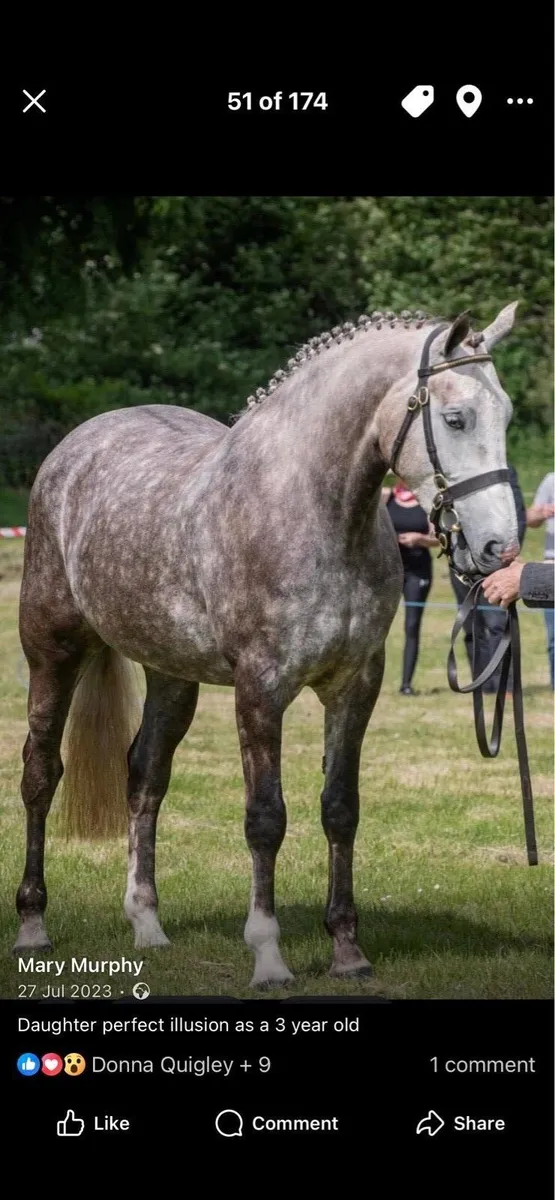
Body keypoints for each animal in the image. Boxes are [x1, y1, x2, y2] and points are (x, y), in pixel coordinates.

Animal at [14, 302, 520, 987]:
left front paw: (347, 951)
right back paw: (33, 925)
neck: (314, 511)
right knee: (40, 772)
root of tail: (72, 450)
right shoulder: (261, 689)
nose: (500, 548)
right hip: (53, 652)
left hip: (172, 675)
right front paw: (269, 955)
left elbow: (340, 808)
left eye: (507, 415)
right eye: (456, 417)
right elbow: (265, 818)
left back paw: (148, 925)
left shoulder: (356, 685)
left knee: (145, 777)